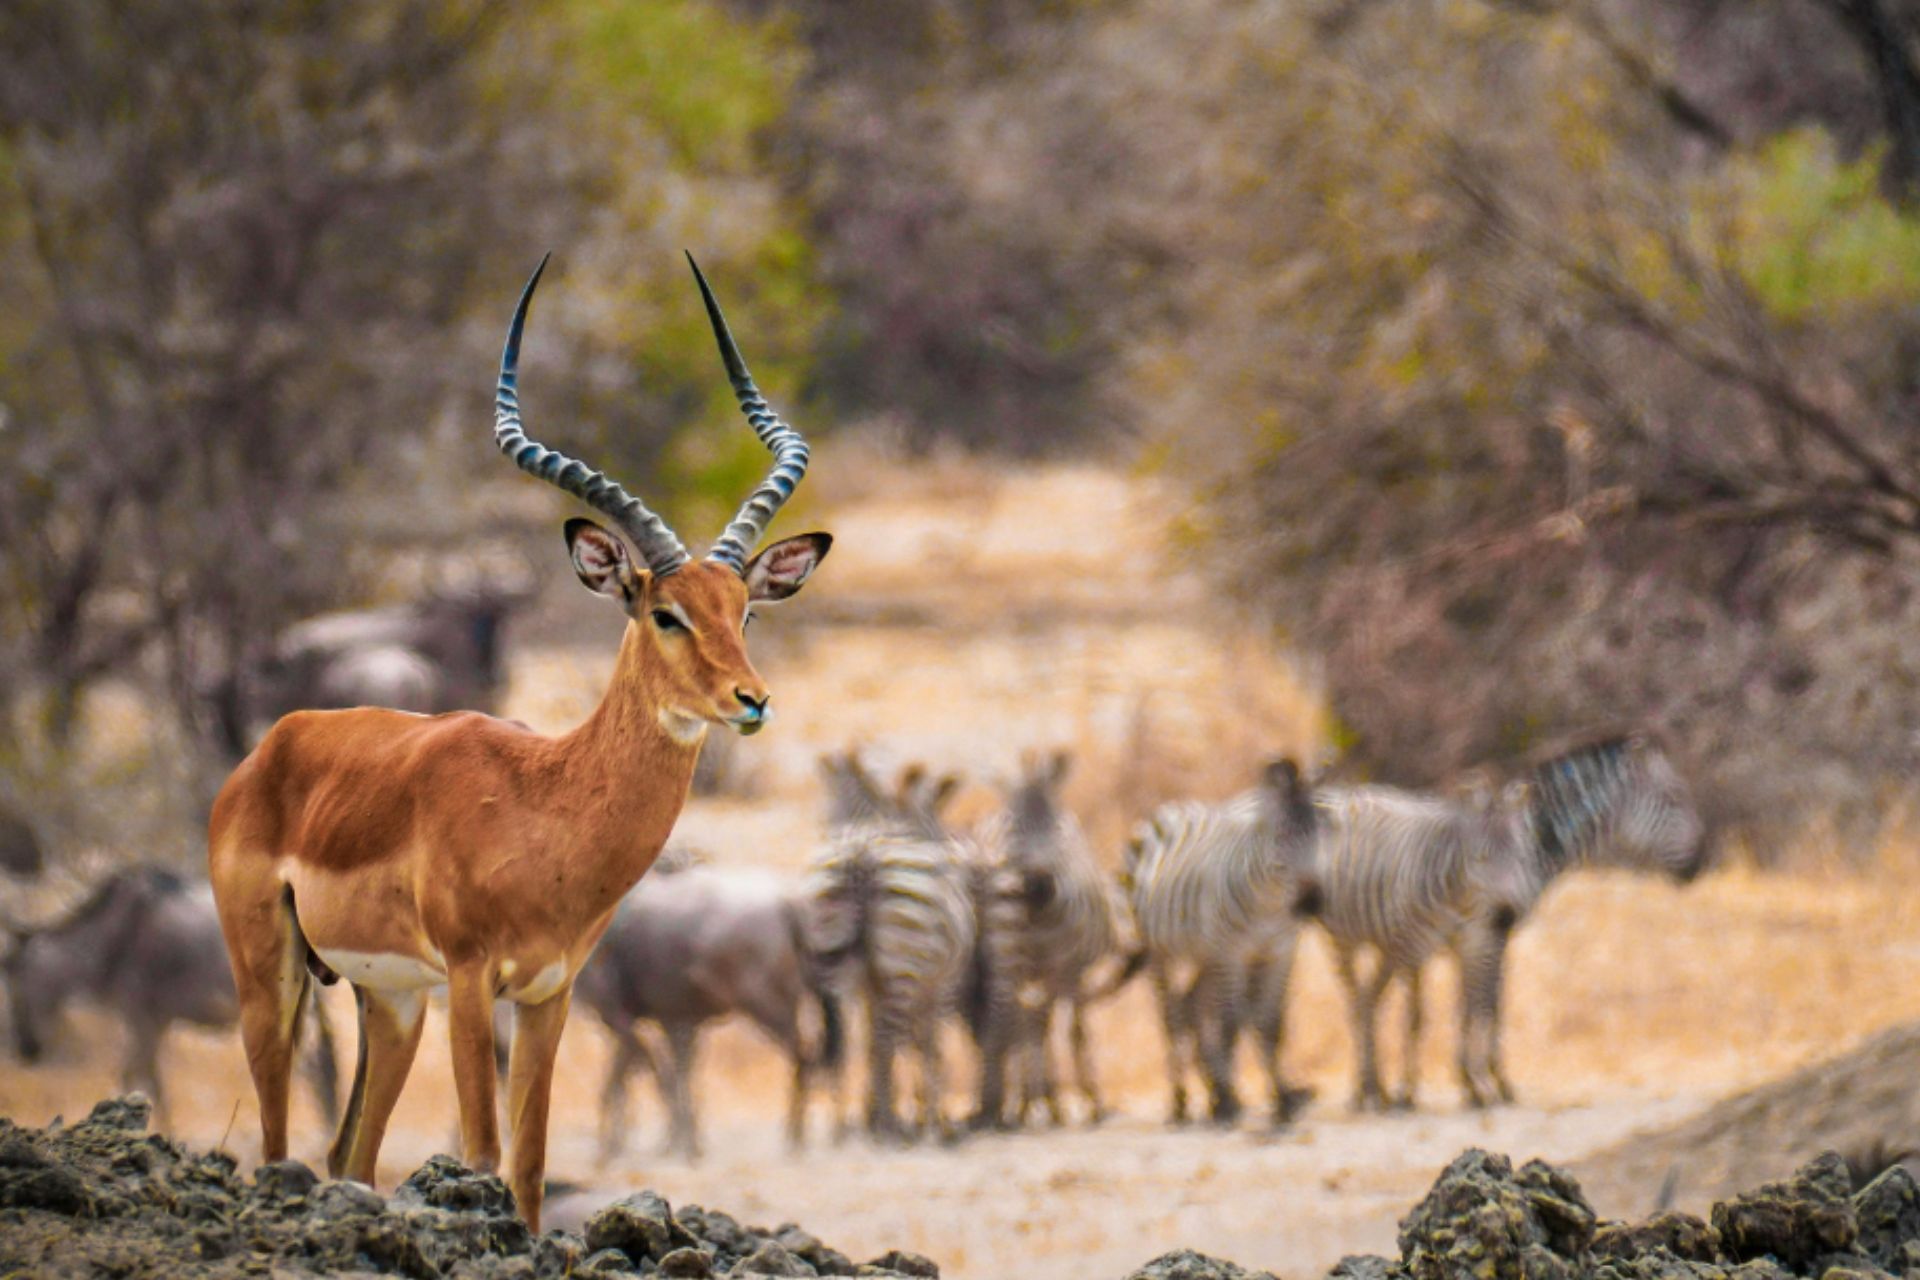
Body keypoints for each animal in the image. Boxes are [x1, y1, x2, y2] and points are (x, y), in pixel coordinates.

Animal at [1122, 758, 1319, 1127]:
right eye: (1282, 836)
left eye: (1323, 835)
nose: (1311, 902)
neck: (1269, 903)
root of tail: (1172, 807)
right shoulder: (1232, 955)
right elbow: (1230, 1023)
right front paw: (1228, 1101)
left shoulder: (1279, 953)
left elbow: (1270, 1025)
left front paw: (1282, 1101)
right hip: (1161, 954)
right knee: (1171, 1016)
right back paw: (1181, 1101)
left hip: (1205, 955)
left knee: (1190, 1005)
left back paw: (1212, 1092)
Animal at [1447, 734, 1707, 1107]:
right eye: (1674, 796)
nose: (1701, 862)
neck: (1529, 845)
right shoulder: (1484, 930)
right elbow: (1486, 1002)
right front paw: (1486, 1082)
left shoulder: (1478, 935)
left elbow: (1476, 1001)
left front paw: (1474, 1080)